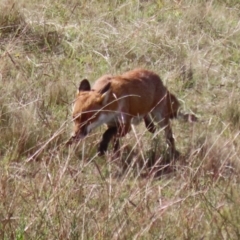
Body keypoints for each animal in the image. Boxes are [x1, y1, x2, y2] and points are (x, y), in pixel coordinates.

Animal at [68, 68, 197, 157]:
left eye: (89, 120)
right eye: (74, 118)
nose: (74, 136)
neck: (113, 101)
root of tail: (159, 80)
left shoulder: (126, 125)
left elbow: (107, 134)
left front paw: (102, 148)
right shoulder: (111, 123)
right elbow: (114, 140)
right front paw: (115, 156)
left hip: (160, 117)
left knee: (169, 137)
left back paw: (172, 153)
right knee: (149, 123)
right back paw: (150, 125)